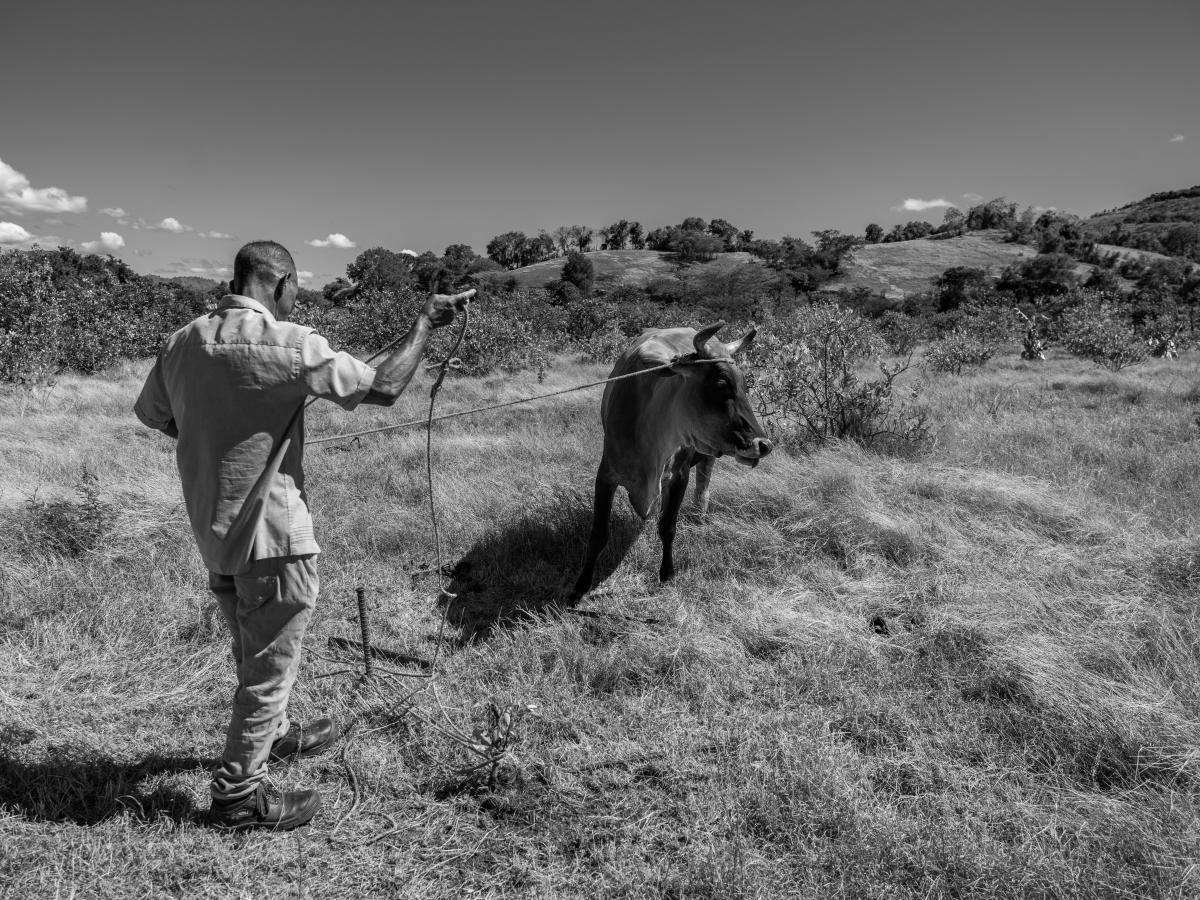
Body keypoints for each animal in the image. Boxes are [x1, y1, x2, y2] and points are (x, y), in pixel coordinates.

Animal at [568, 321, 768, 600]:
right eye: (721, 384)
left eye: (744, 386)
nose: (764, 444)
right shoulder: (606, 474)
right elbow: (598, 534)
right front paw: (580, 586)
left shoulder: (678, 475)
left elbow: (668, 527)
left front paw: (667, 574)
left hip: (707, 454)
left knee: (703, 489)